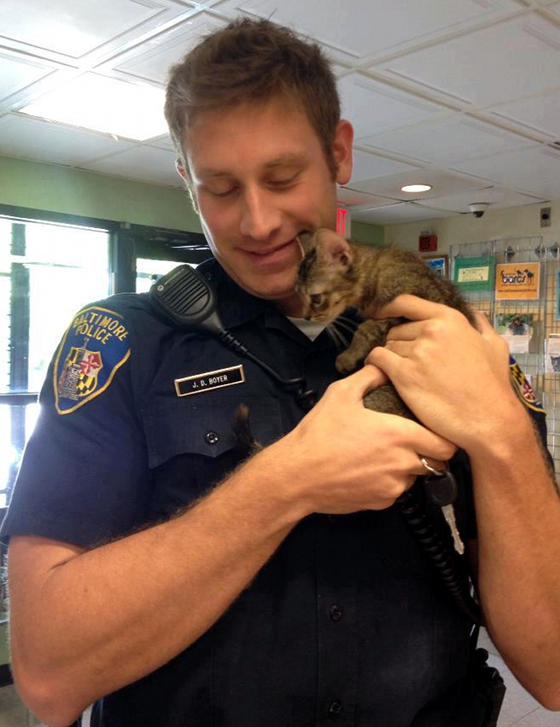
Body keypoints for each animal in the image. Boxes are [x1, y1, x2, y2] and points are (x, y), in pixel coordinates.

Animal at [296, 228, 474, 420]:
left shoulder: (406, 304)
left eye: (316, 298)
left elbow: (365, 328)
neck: (376, 273)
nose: (306, 317)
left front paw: (347, 356)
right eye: (298, 295)